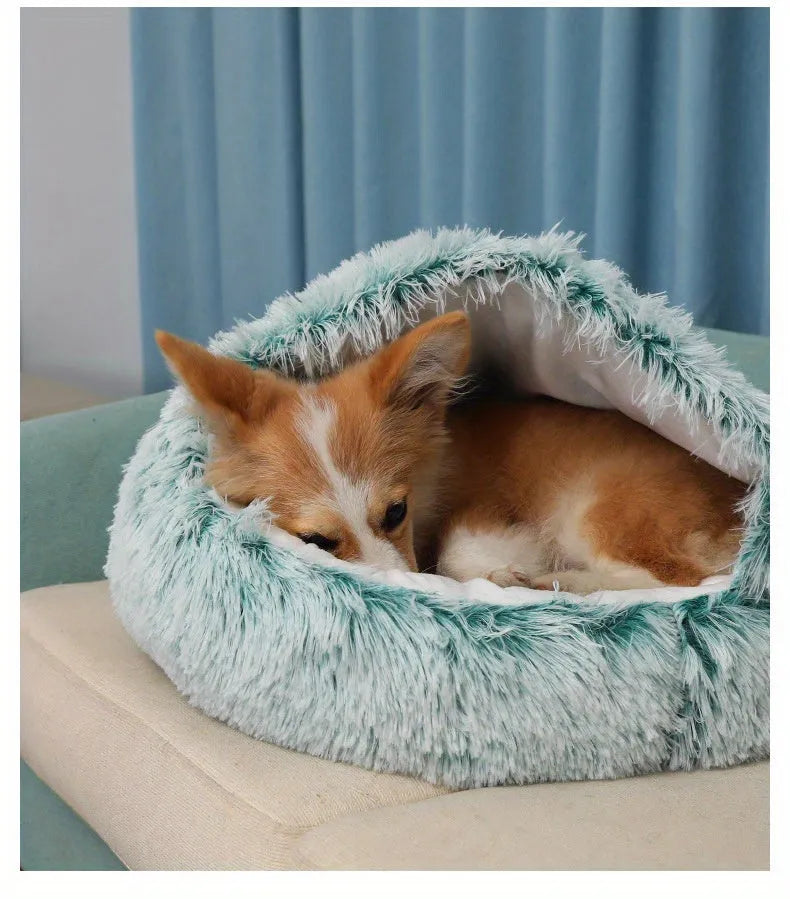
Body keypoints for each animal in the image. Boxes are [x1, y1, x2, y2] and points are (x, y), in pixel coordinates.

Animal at [156, 312, 748, 596]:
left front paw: (511, 571)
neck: (432, 478)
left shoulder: (485, 512)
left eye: (396, 511)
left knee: (682, 579)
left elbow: (462, 551)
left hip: (596, 510)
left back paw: (566, 583)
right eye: (318, 542)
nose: (404, 585)